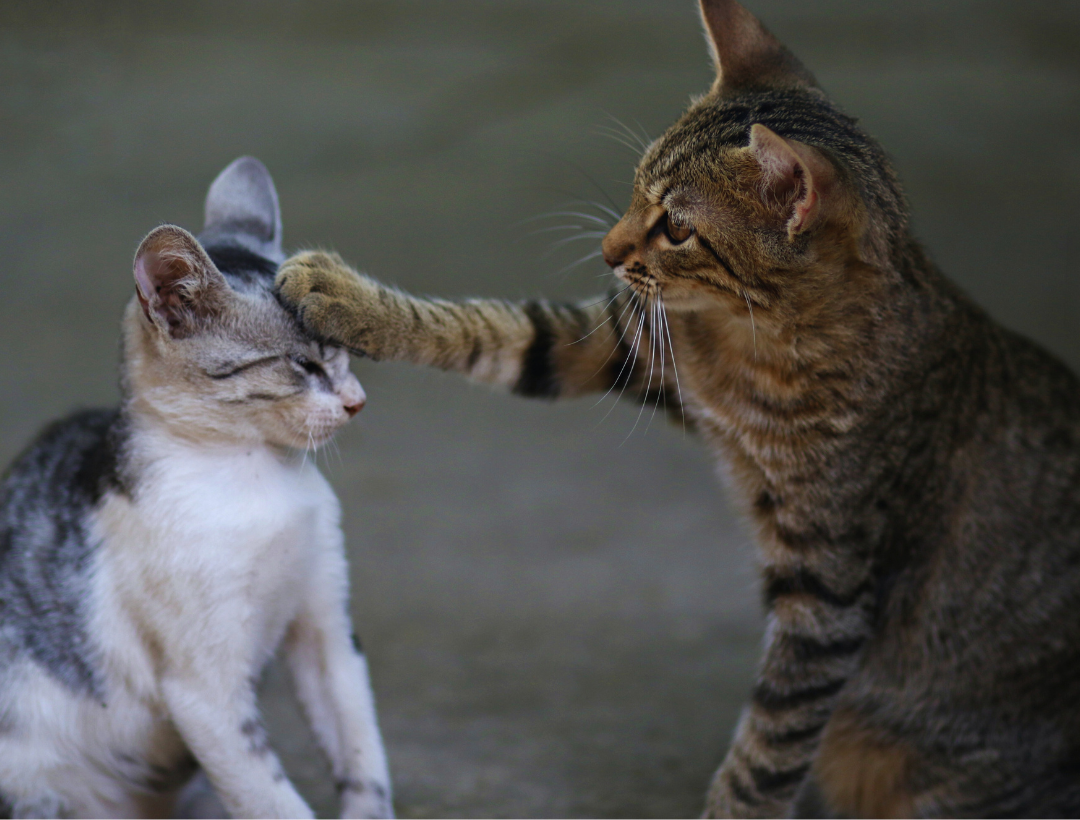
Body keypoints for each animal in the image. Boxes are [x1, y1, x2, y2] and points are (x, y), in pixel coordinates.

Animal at [0, 156, 393, 816]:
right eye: (304, 364)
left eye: (343, 354)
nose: (358, 401)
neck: (257, 477)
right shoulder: (203, 691)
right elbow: (271, 797)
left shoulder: (330, 632)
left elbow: (363, 753)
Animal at [274, 3, 1080, 816]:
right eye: (636, 188)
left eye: (678, 228)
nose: (607, 250)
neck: (752, 347)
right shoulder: (625, 344)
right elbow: (487, 328)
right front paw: (349, 299)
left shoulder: (828, 590)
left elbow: (766, 753)